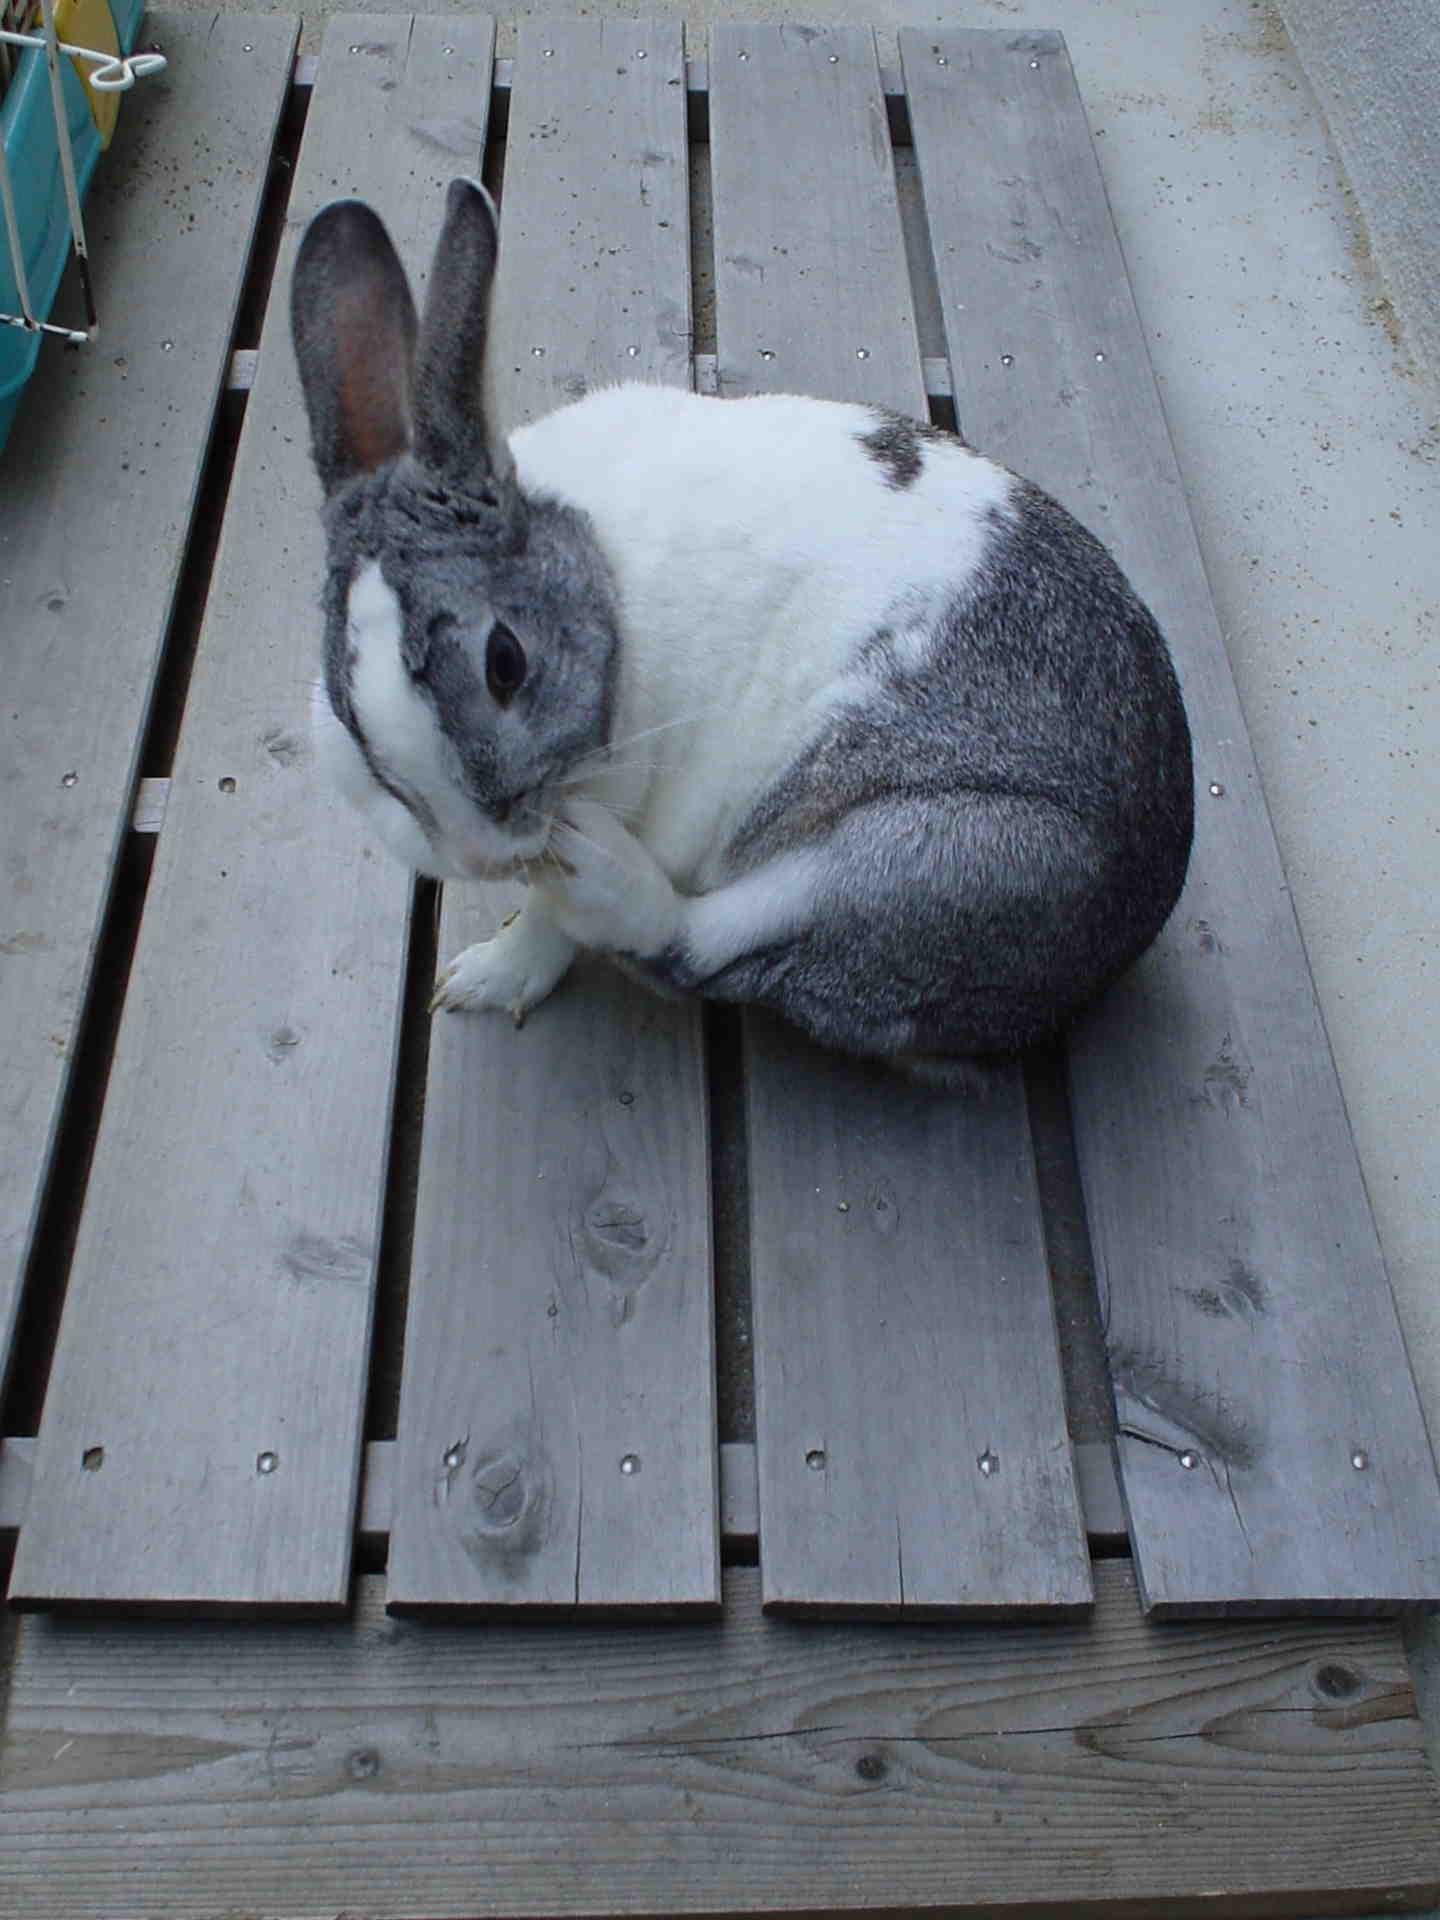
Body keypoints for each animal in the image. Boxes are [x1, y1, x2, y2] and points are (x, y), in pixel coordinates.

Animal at [290, 177, 1193, 1084]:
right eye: (346, 703)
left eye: (504, 662)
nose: (481, 855)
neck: (603, 580)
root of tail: (1121, 933)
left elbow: (554, 916)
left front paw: (492, 974)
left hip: (927, 864)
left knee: (697, 948)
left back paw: (605, 875)